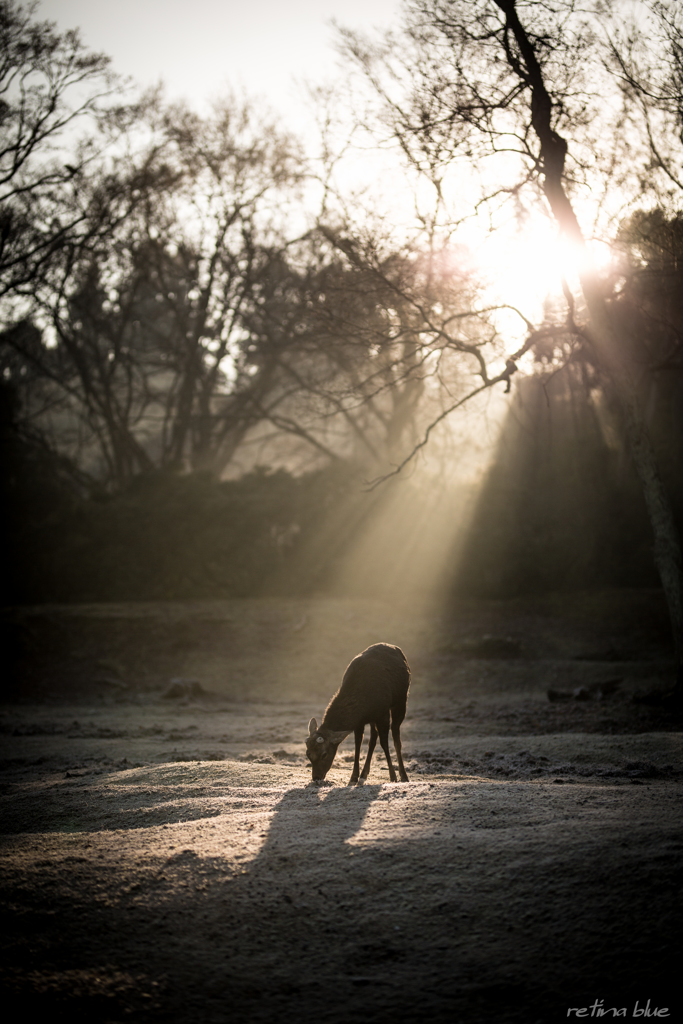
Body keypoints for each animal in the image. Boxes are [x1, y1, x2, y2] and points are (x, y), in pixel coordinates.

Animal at [305, 643, 411, 786]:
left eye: (324, 754)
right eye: (308, 754)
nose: (316, 777)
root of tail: (395, 647)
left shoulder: (382, 713)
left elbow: (384, 743)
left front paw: (393, 777)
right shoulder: (360, 721)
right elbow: (358, 744)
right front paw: (353, 778)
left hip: (401, 701)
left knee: (396, 737)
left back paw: (403, 776)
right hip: (373, 718)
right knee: (373, 739)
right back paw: (364, 775)